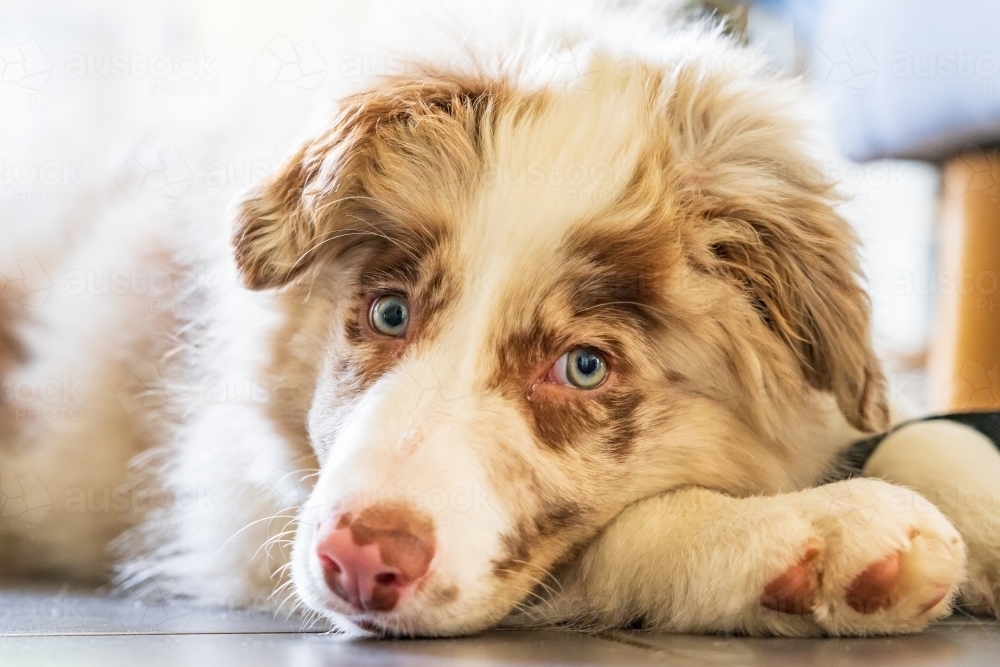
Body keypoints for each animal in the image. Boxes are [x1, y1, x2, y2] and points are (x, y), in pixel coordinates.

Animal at [1, 5, 1000, 640]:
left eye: (584, 367)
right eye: (389, 311)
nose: (358, 561)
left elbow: (921, 430)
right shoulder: (242, 518)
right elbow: (612, 540)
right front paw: (818, 536)